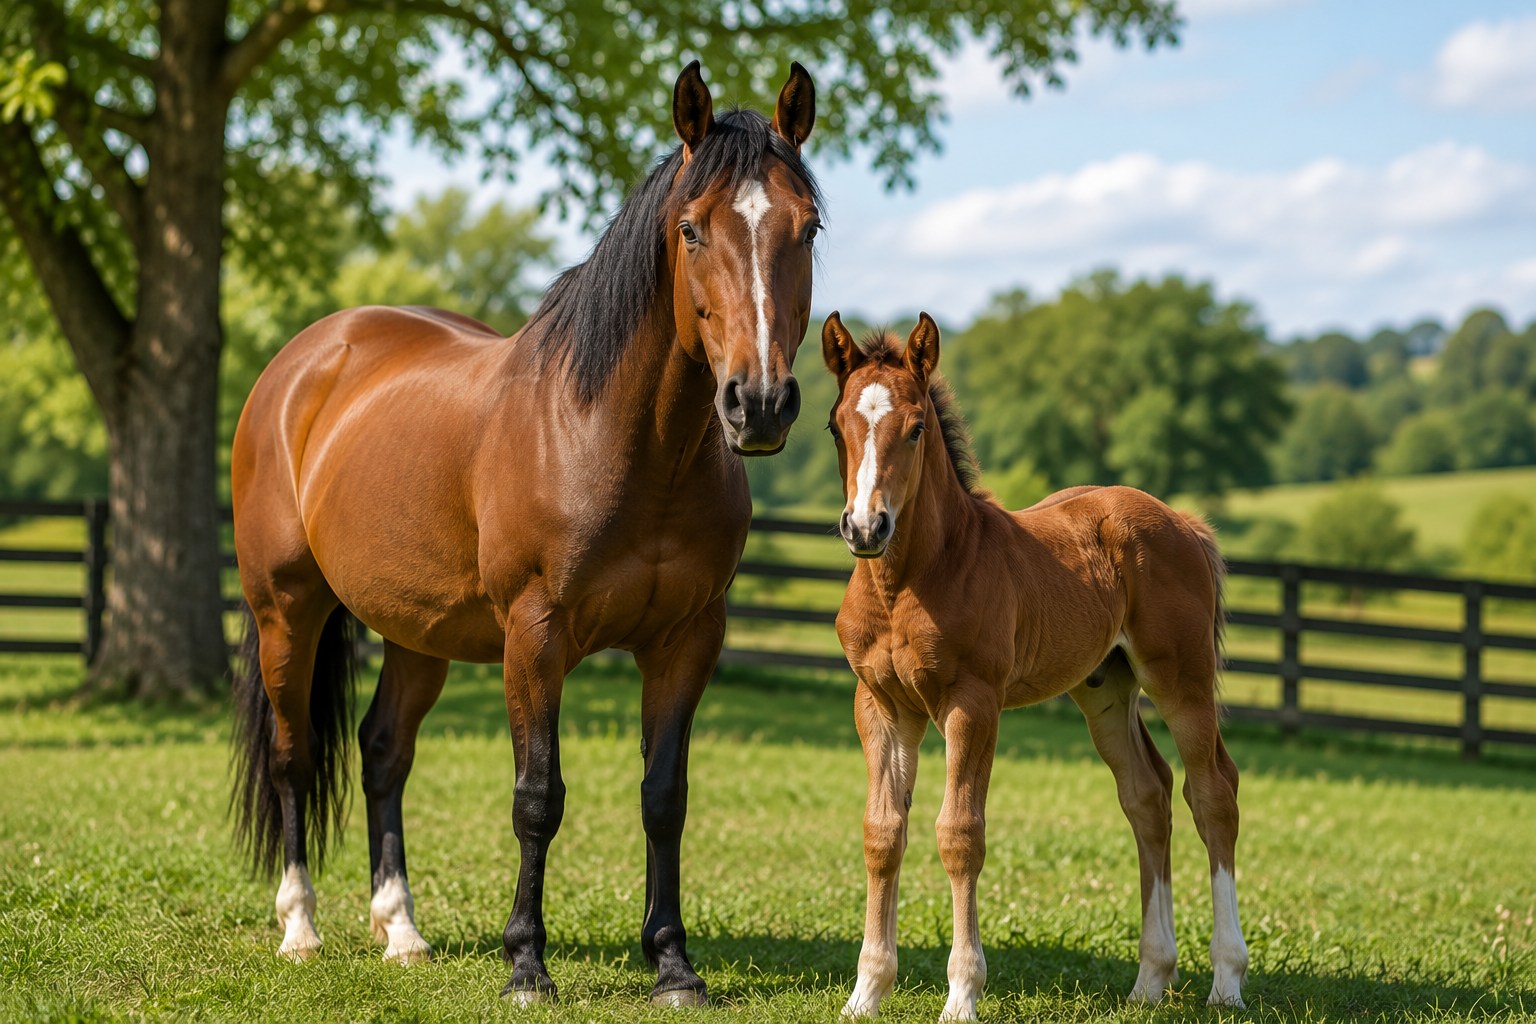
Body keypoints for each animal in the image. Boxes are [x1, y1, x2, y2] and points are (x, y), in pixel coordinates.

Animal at [227, 61, 823, 1006]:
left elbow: (665, 796)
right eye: (691, 228)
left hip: (416, 632)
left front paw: (673, 964)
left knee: (383, 753)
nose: (757, 404)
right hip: (288, 610)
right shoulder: (534, 637)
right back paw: (300, 928)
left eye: (808, 228)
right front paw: (526, 965)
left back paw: (401, 931)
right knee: (293, 755)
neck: (617, 440)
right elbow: (537, 797)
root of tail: (306, 359)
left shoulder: (688, 640)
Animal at [820, 313, 1248, 1019]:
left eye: (916, 428)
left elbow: (959, 834)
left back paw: (1227, 980)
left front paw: (962, 993)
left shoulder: (972, 701)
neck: (911, 579)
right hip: (1105, 690)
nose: (865, 527)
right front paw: (866, 993)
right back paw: (1149, 980)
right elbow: (882, 833)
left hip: (1180, 680)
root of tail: (1182, 522)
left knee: (1212, 792)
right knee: (1148, 795)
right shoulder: (880, 704)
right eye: (835, 426)